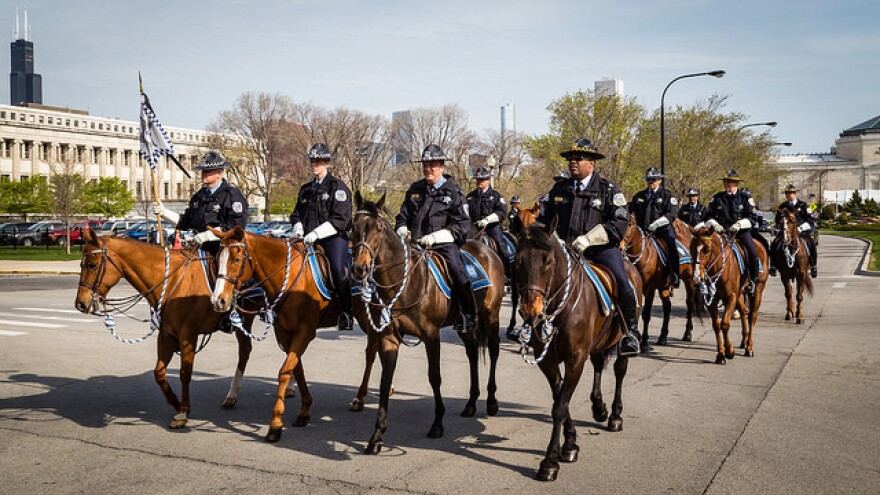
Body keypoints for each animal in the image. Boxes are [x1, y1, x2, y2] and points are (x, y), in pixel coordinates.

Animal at [75, 231, 258, 428]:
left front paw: (183, 412)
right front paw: (176, 404)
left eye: (92, 265)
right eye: (81, 264)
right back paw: (232, 396)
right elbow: (159, 373)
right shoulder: (166, 335)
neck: (173, 281)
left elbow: (185, 373)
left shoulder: (188, 336)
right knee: (245, 350)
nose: (80, 304)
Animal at [211, 227, 348, 444]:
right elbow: (296, 368)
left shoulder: (304, 331)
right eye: (217, 258)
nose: (218, 300)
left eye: (237, 258)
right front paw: (304, 409)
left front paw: (275, 424)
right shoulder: (284, 333)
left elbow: (284, 371)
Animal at [348, 192, 506, 456]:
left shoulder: (432, 335)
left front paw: (437, 424)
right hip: (465, 325)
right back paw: (471, 403)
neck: (404, 282)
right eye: (353, 227)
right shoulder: (389, 337)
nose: (359, 268)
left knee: (493, 351)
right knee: (472, 352)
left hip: (490, 315)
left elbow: (435, 377)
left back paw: (492, 401)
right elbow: (385, 380)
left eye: (378, 228)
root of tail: (486, 249)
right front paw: (377, 436)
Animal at [512, 219, 644, 482]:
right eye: (517, 260)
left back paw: (615, 416)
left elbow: (560, 407)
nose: (531, 312)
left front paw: (550, 461)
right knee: (599, 365)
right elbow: (559, 399)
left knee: (619, 371)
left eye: (548, 261)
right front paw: (570, 444)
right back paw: (599, 407)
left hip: (621, 342)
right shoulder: (548, 362)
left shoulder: (575, 359)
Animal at [692, 229, 768, 364]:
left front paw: (729, 351)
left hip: (758, 290)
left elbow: (725, 324)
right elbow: (716, 325)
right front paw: (721, 355)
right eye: (692, 247)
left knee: (752, 316)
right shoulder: (712, 300)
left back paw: (749, 348)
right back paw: (744, 341)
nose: (697, 278)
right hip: (740, 293)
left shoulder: (731, 297)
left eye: (706, 249)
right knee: (743, 312)